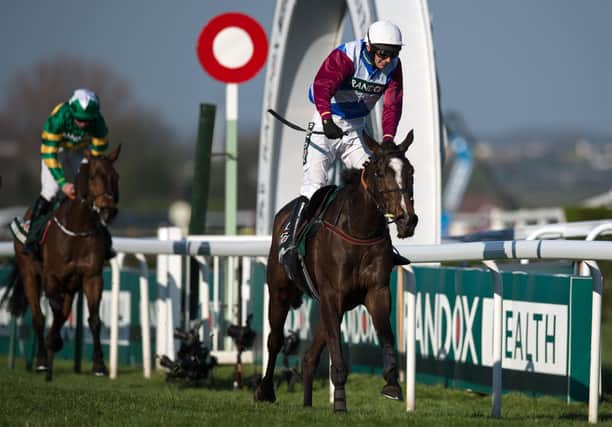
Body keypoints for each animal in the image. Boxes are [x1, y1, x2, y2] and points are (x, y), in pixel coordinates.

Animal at [1, 146, 120, 382]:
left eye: (116, 177)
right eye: (93, 176)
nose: (108, 210)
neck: (77, 229)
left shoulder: (92, 277)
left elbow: (94, 319)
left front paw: (99, 365)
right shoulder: (51, 277)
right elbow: (51, 313)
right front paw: (52, 345)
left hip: (71, 286)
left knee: (62, 314)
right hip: (30, 274)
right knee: (39, 316)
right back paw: (41, 360)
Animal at [256, 131, 418, 412]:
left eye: (410, 171)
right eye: (380, 172)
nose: (407, 219)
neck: (359, 230)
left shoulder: (376, 291)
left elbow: (386, 336)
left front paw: (392, 385)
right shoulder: (333, 294)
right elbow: (337, 354)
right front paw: (340, 403)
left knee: (309, 356)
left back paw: (307, 403)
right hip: (279, 292)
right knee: (274, 340)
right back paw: (265, 390)